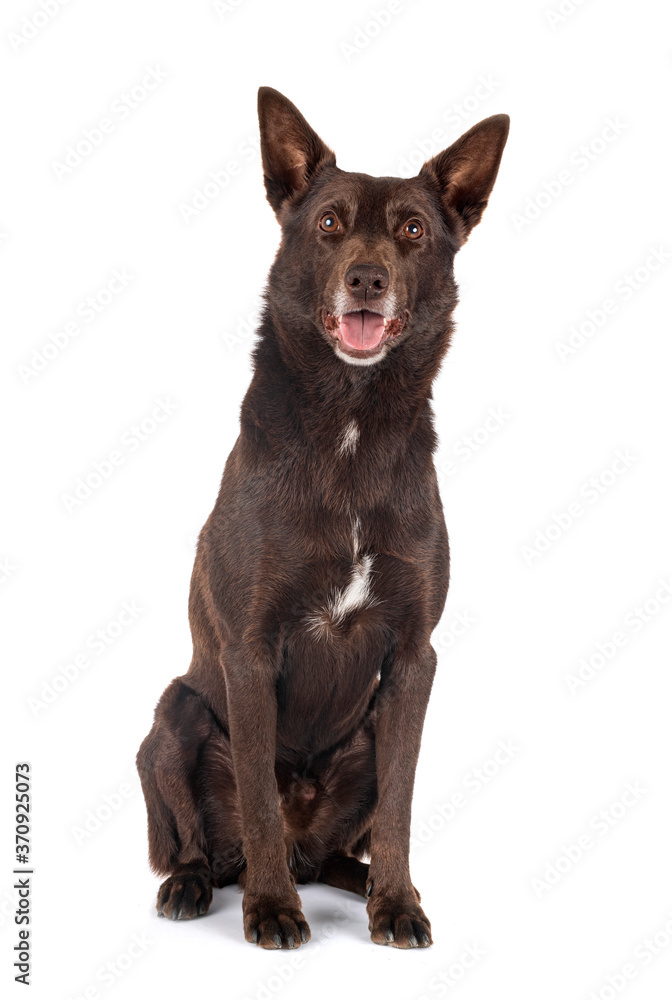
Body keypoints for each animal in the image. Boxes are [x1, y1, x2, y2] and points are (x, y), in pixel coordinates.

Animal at [134, 84, 506, 944]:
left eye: (413, 230)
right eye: (330, 222)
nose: (366, 279)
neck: (350, 426)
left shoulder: (413, 658)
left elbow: (400, 806)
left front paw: (397, 904)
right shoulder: (247, 651)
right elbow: (259, 802)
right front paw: (272, 910)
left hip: (361, 735)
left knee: (342, 845)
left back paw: (359, 882)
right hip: (174, 713)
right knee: (205, 842)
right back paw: (200, 886)